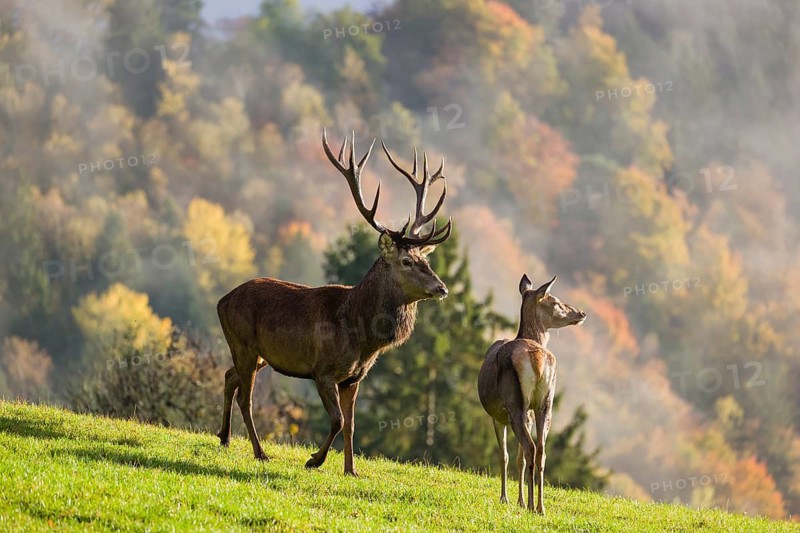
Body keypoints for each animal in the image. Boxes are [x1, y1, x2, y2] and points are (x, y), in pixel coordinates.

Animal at [216, 130, 453, 476]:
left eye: (426, 259)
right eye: (407, 261)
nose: (442, 288)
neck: (362, 335)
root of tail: (223, 300)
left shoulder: (354, 378)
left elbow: (352, 424)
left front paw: (351, 470)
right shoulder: (323, 371)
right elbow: (338, 421)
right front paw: (314, 460)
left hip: (261, 355)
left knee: (228, 376)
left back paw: (224, 437)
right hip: (242, 342)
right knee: (245, 397)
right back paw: (260, 452)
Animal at [477, 275, 586, 514]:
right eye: (556, 302)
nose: (581, 313)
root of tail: (536, 359)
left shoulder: (497, 415)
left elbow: (505, 456)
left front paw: (506, 498)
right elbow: (517, 457)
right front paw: (517, 499)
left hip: (515, 403)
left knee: (529, 448)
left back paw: (530, 504)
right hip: (546, 402)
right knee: (541, 450)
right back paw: (540, 506)